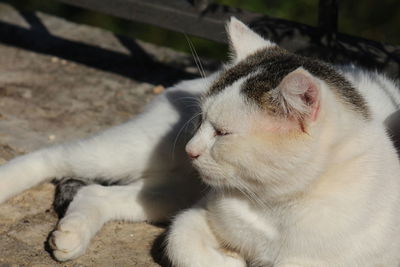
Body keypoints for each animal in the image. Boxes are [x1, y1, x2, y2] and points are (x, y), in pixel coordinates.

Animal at [0, 17, 400, 266]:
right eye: (200, 120)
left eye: (222, 132)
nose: (191, 149)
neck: (271, 206)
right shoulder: (198, 214)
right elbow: (179, 242)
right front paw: (232, 260)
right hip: (132, 152)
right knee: (56, 155)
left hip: (171, 188)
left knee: (96, 192)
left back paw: (72, 233)